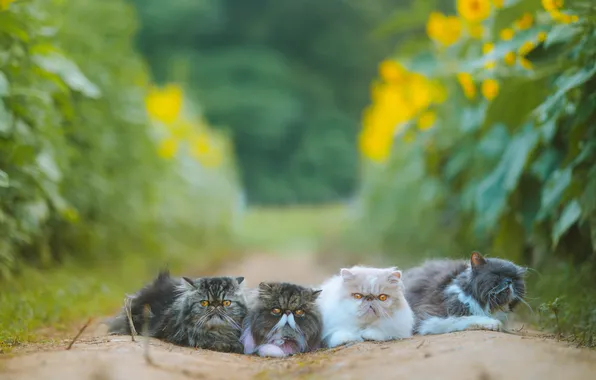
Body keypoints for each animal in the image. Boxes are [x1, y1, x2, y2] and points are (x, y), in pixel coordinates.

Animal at [107, 270, 247, 354]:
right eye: (204, 303)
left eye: (226, 303)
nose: (216, 306)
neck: (217, 331)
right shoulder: (180, 335)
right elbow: (207, 340)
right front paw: (226, 345)